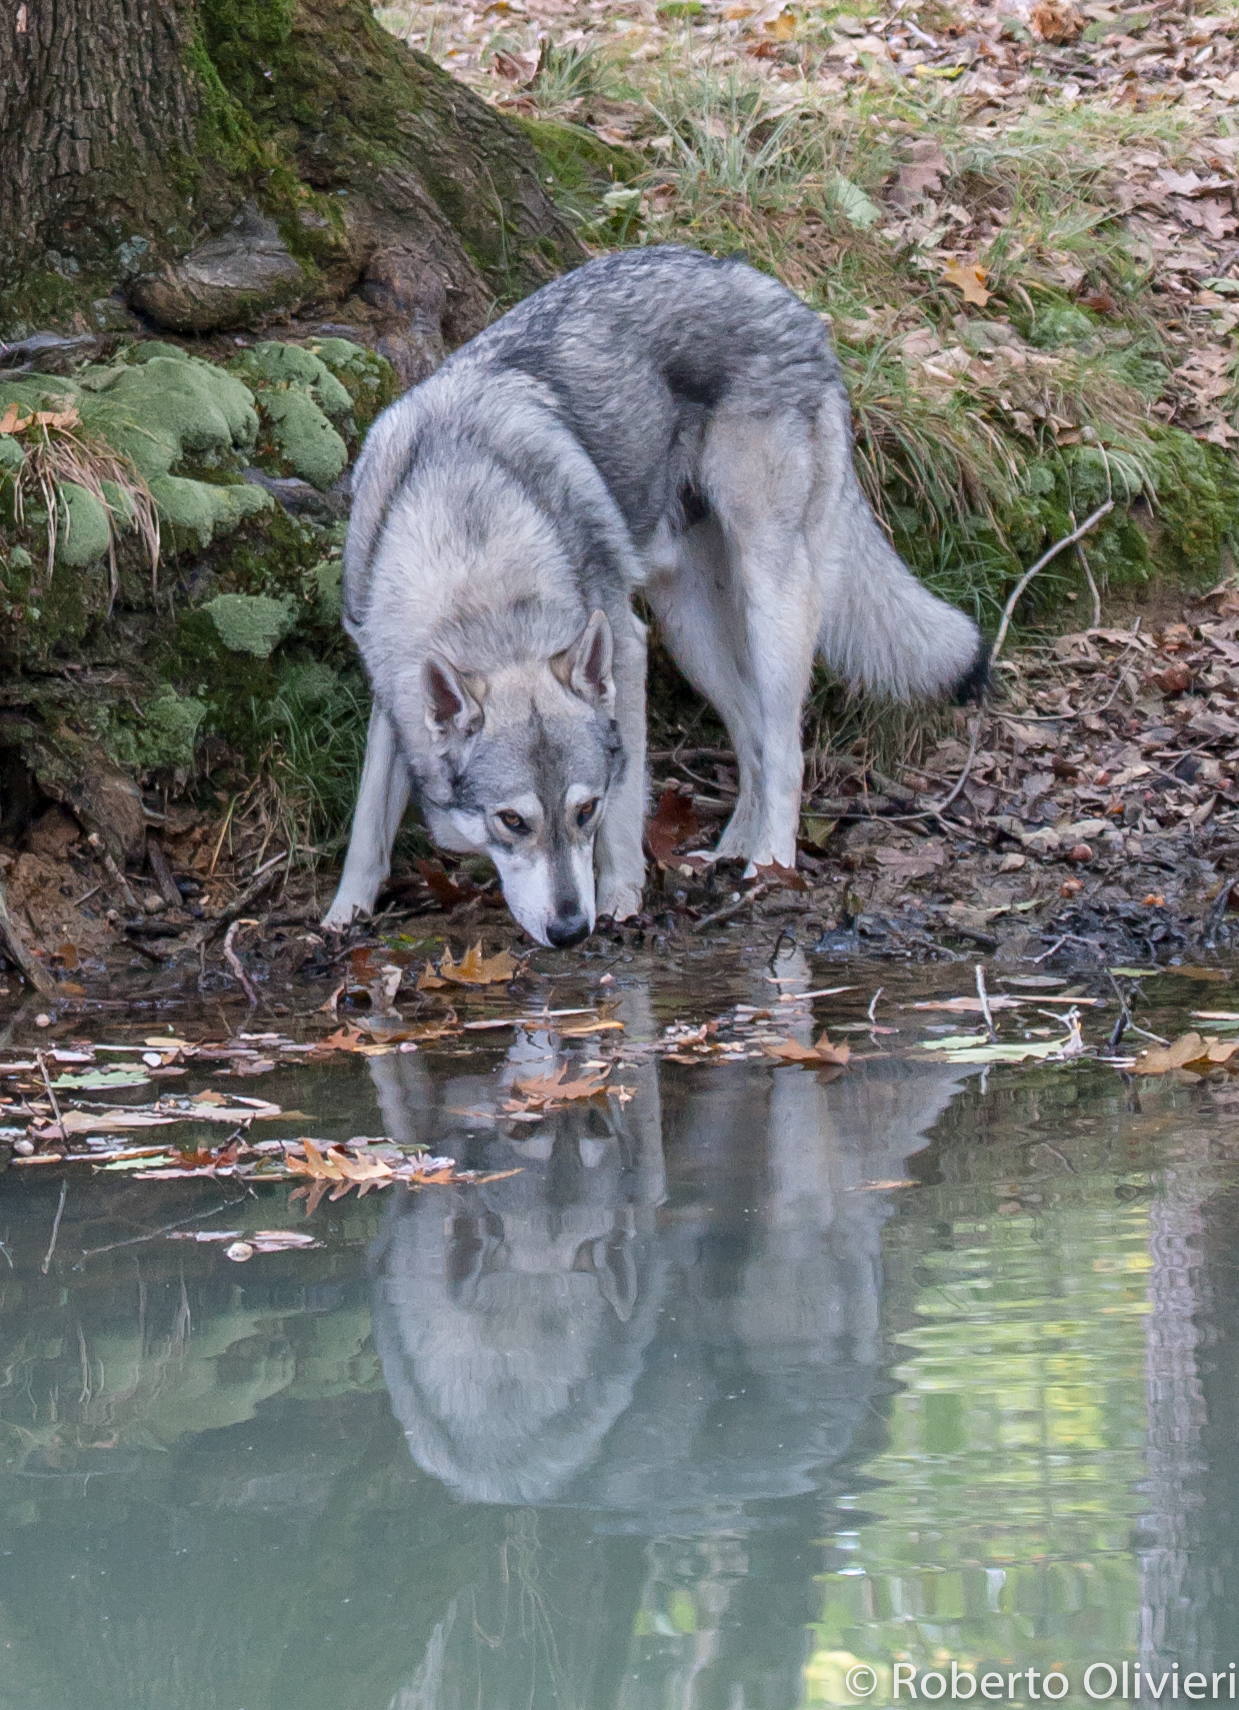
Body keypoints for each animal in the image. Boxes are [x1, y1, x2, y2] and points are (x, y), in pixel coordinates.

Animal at [323, 245, 986, 946]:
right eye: (512, 821)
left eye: (583, 810)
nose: (570, 930)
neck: (471, 546)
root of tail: (779, 292)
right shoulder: (389, 682)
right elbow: (366, 821)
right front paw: (343, 914)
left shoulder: (625, 647)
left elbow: (627, 800)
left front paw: (621, 896)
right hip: (691, 633)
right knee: (751, 737)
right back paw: (730, 847)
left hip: (767, 607)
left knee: (786, 751)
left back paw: (768, 866)